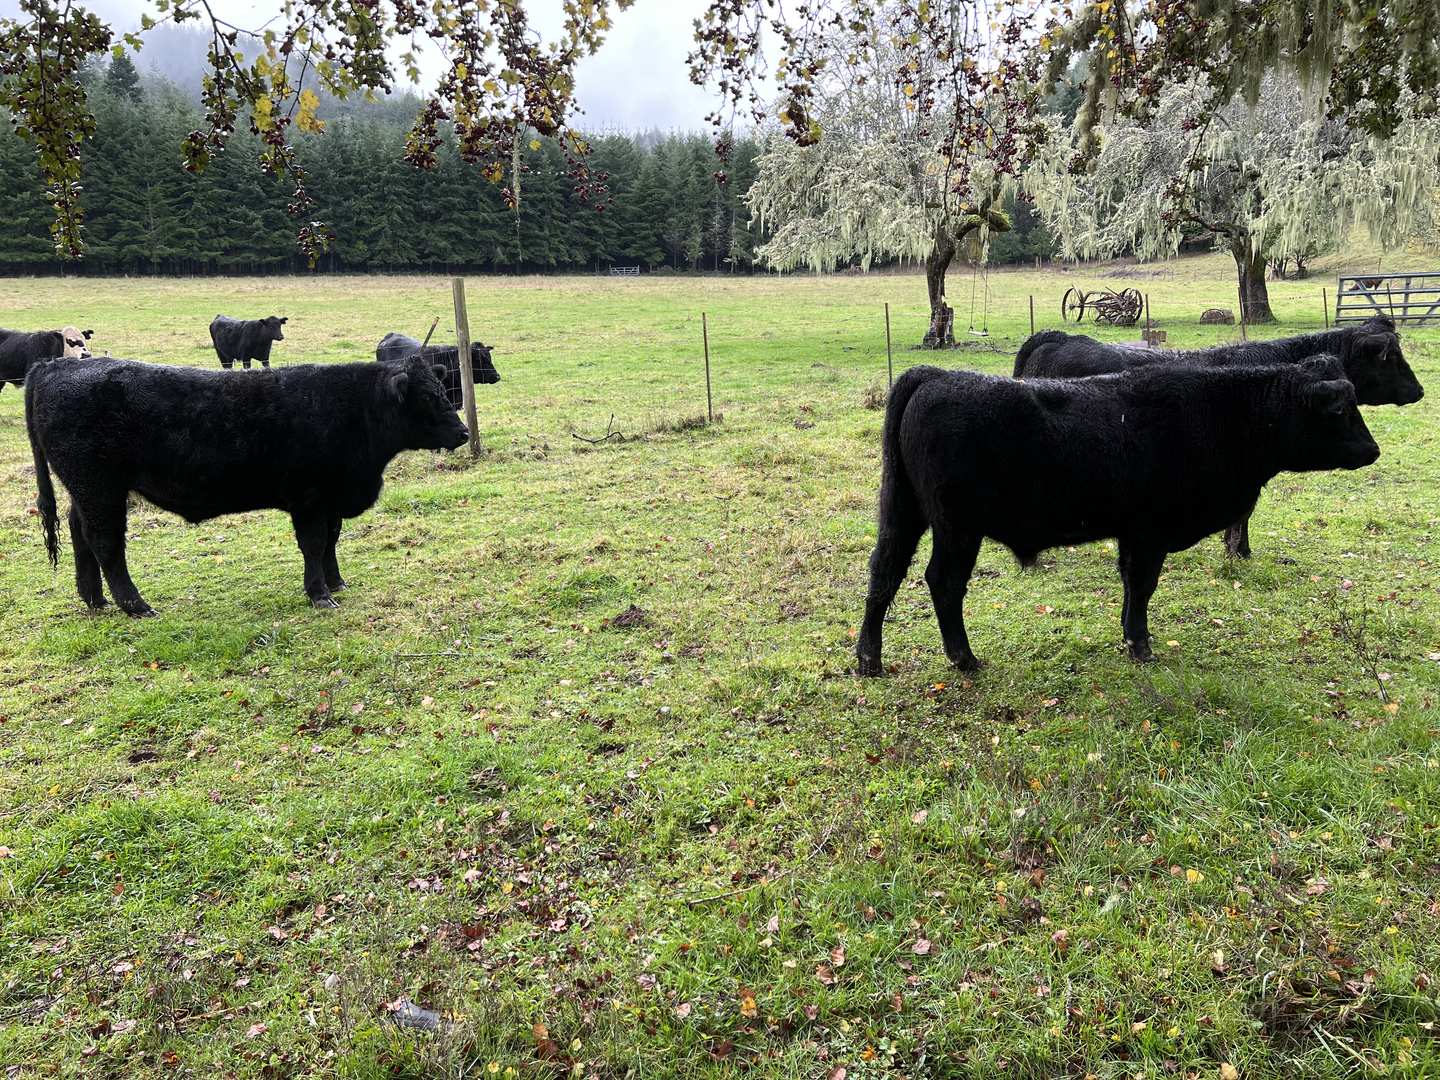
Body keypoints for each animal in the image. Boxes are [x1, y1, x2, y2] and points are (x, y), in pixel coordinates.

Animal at [27, 355, 468, 616]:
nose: (463, 432)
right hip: (100, 488)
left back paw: (94, 599)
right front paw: (319, 594)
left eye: (442, 391)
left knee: (80, 532)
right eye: (429, 397)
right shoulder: (309, 499)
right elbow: (313, 544)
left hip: (86, 490)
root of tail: (55, 365)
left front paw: (336, 582)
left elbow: (331, 541)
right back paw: (135, 605)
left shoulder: (330, 500)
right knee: (105, 542)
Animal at [855, 357, 1379, 676]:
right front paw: (1142, 647)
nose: (1373, 450)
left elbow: (1130, 585)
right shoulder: (1150, 532)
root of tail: (936, 375)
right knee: (942, 582)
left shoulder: (1132, 534)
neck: (1221, 414)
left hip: (905, 514)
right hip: (956, 528)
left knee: (884, 574)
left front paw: (1130, 638)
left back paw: (868, 659)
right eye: (1339, 409)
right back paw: (964, 659)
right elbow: (1143, 586)